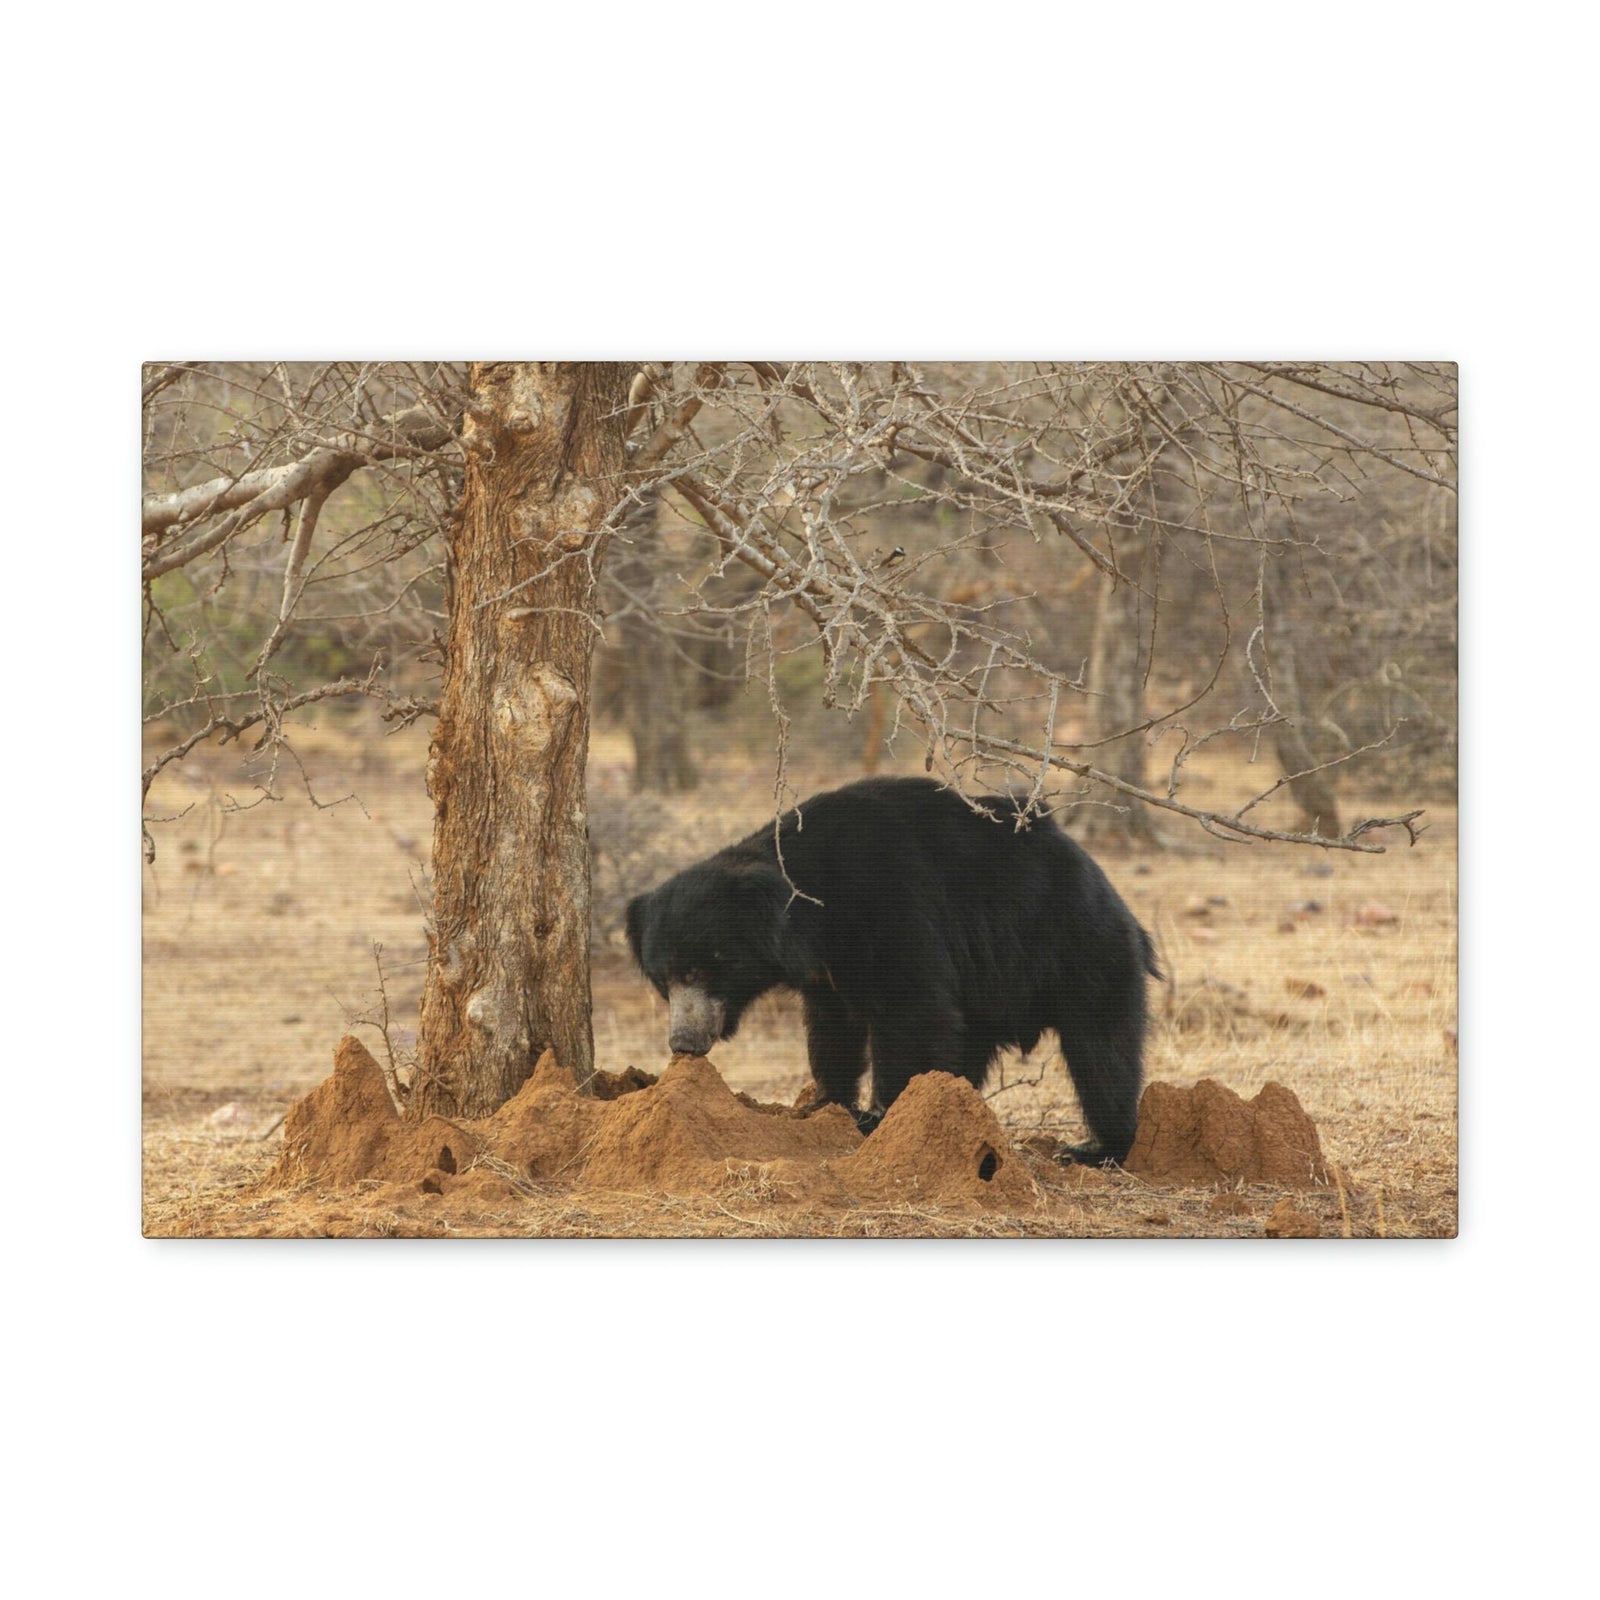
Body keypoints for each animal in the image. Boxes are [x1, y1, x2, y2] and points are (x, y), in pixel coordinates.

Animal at [624, 776, 1160, 1165]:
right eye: (663, 980)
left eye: (700, 970)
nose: (684, 1042)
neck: (811, 913)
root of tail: (1116, 900)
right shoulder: (826, 971)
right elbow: (832, 1030)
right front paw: (825, 1104)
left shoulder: (890, 905)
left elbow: (913, 1009)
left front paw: (880, 1118)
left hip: (1077, 952)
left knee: (1102, 1050)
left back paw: (1096, 1148)